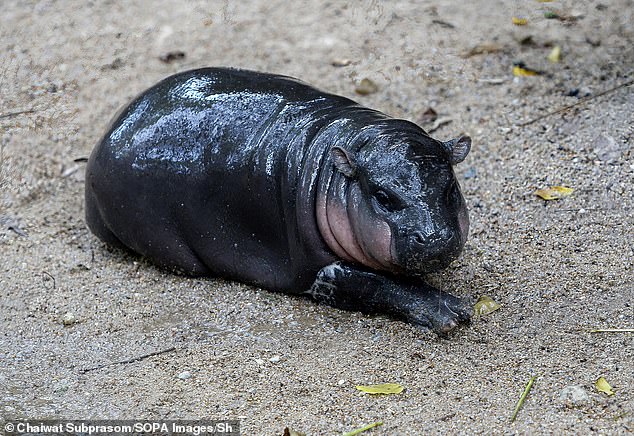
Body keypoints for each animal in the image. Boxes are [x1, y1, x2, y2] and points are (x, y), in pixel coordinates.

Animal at [82, 68, 470, 334]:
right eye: (383, 196)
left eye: (450, 187)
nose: (435, 237)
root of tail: (108, 134)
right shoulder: (320, 272)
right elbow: (378, 284)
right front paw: (451, 311)